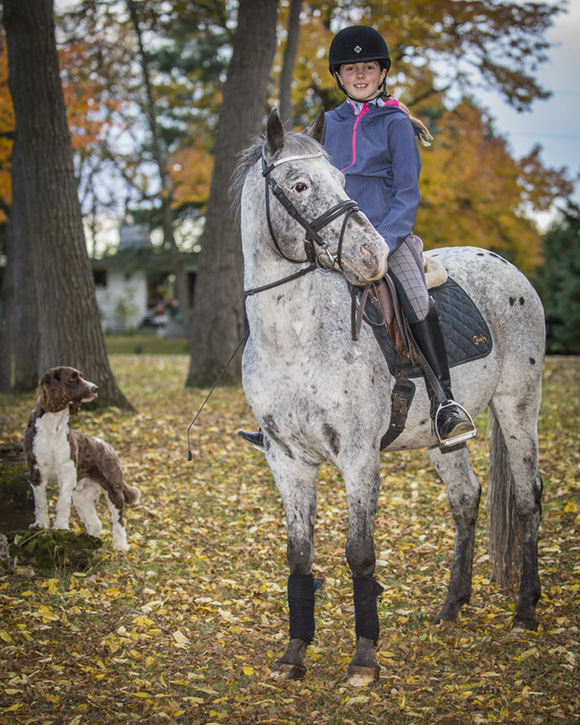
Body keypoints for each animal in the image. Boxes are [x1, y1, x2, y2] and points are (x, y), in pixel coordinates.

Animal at [23, 368, 142, 548]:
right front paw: (41, 525)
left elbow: (62, 503)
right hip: (82, 496)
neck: (53, 425)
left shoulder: (67, 472)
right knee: (95, 523)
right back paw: (93, 541)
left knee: (119, 520)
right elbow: (41, 502)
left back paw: (120, 547)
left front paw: (60, 527)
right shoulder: (36, 471)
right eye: (73, 378)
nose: (96, 388)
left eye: (81, 375)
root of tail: (108, 447)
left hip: (113, 488)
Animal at [232, 110, 544, 688]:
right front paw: (293, 655)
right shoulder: (287, 460)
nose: (371, 254)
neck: (294, 339)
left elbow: (359, 554)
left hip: (518, 406)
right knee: (466, 499)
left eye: (342, 180)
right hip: (442, 439)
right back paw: (451, 607)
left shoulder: (358, 457)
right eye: (300, 184)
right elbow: (299, 556)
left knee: (528, 499)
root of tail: (505, 264)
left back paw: (525, 612)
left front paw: (363, 659)